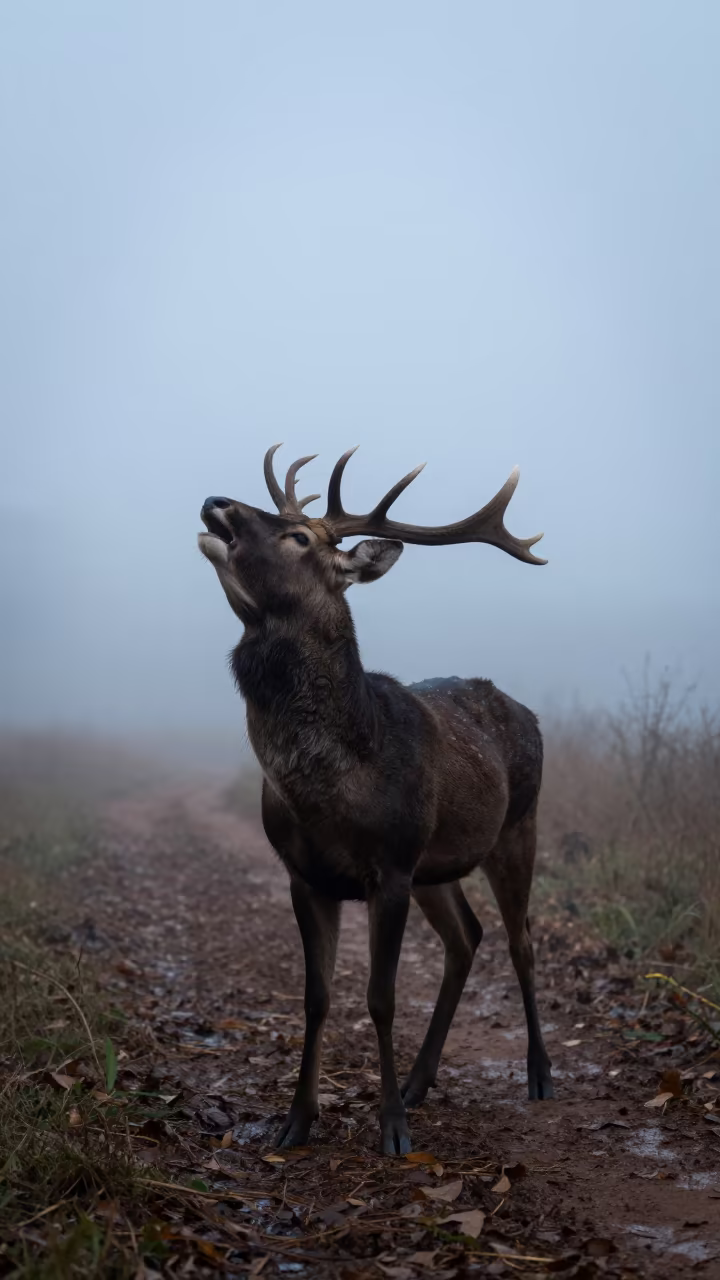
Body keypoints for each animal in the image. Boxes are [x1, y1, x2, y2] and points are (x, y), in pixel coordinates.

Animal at [198, 445, 554, 1155]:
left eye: (300, 538)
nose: (216, 502)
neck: (329, 793)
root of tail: (527, 712)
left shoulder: (389, 866)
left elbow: (380, 997)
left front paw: (390, 1128)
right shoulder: (307, 875)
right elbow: (317, 996)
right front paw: (296, 1120)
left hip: (516, 826)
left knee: (521, 941)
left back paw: (538, 1073)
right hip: (436, 864)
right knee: (467, 937)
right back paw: (420, 1080)